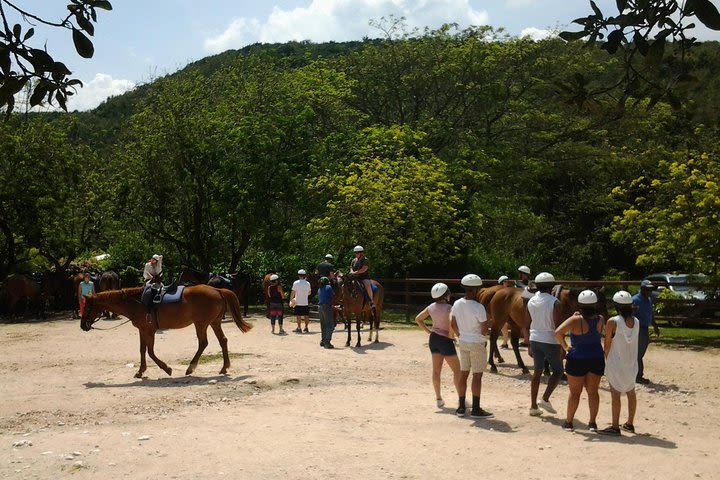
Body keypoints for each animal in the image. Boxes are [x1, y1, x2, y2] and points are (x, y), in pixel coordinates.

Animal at [79, 284, 252, 378]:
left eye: (86, 307)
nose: (82, 325)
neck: (136, 303)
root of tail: (217, 289)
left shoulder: (149, 331)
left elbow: (150, 352)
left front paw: (167, 369)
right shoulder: (143, 330)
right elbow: (142, 350)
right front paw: (140, 372)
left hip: (201, 324)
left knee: (203, 343)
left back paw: (191, 367)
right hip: (214, 323)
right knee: (223, 340)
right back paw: (224, 367)